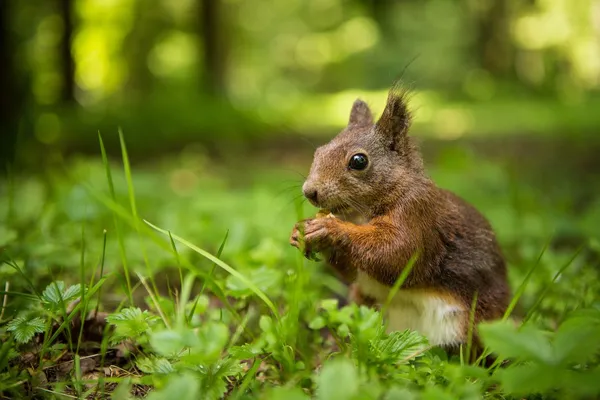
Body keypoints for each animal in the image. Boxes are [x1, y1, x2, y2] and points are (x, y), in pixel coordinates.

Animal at [290, 83, 510, 354]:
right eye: (318, 151)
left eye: (359, 161)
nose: (309, 191)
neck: (360, 215)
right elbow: (354, 272)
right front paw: (300, 232)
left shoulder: (418, 214)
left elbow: (398, 253)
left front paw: (329, 228)